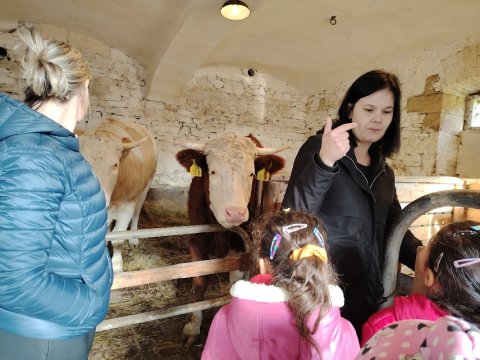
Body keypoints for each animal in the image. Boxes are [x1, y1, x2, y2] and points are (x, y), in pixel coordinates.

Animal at [79, 116, 158, 272]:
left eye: (115, 165)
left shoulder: (127, 206)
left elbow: (118, 239)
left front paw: (116, 265)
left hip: (145, 187)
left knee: (137, 213)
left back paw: (133, 238)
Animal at [175, 132, 284, 346]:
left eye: (251, 174)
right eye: (213, 172)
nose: (235, 213)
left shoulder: (242, 246)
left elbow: (236, 281)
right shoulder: (196, 239)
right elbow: (199, 281)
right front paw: (192, 327)